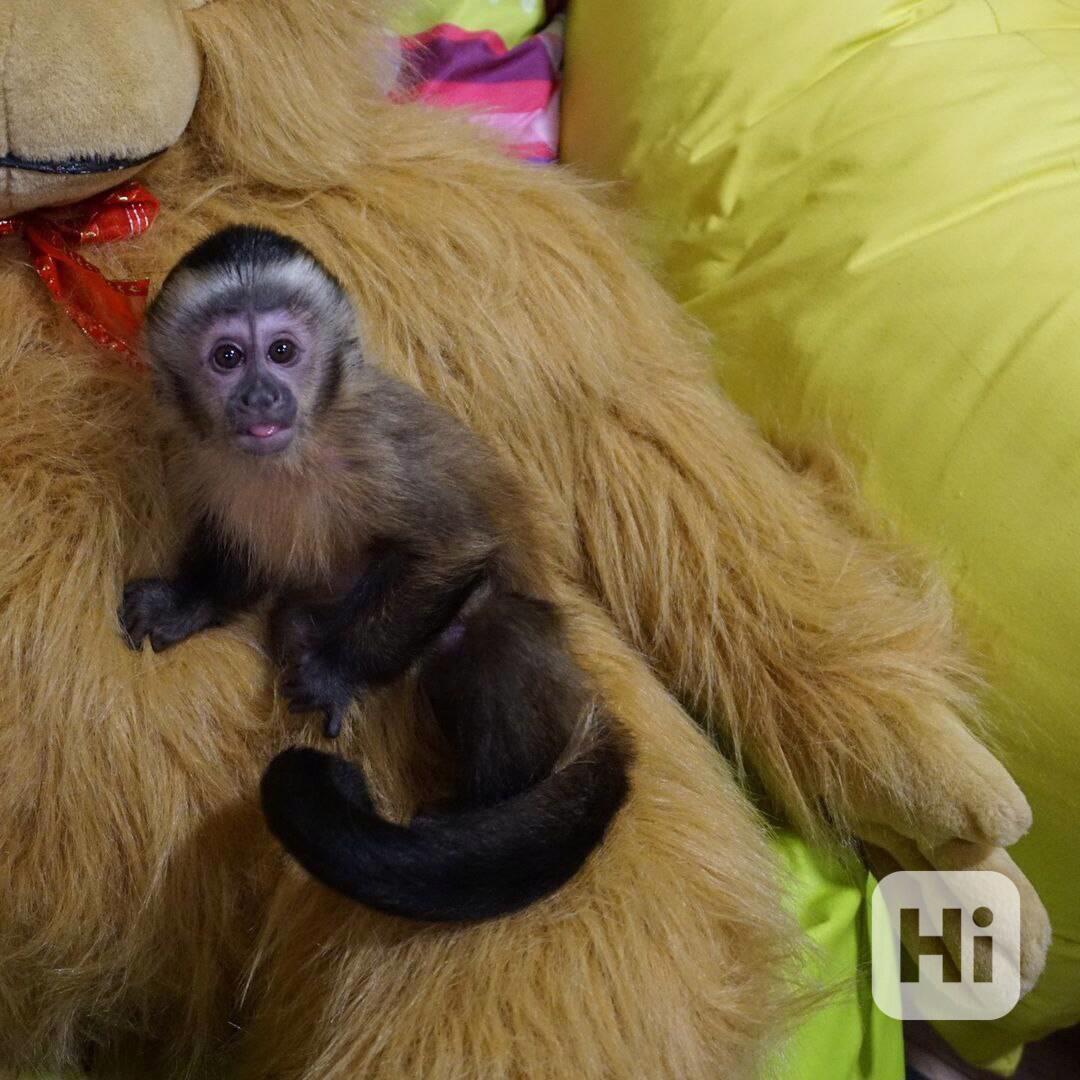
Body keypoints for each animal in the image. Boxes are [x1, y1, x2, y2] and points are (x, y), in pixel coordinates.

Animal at [119, 225, 633, 922]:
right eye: (227, 357)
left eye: (282, 352)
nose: (261, 395)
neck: (298, 451)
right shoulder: (208, 461)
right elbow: (237, 552)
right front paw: (185, 602)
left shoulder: (377, 448)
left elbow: (451, 548)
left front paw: (336, 673)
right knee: (293, 617)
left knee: (489, 627)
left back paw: (480, 808)